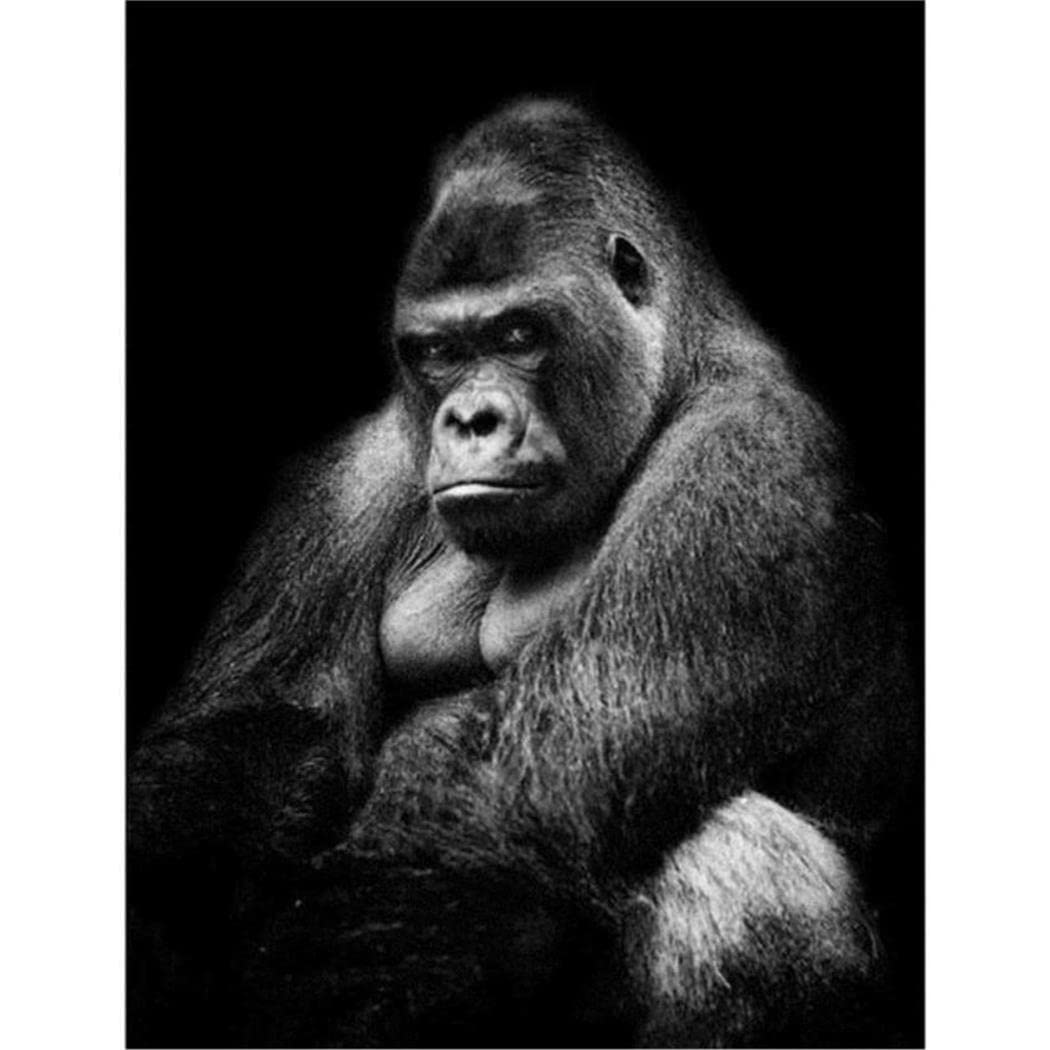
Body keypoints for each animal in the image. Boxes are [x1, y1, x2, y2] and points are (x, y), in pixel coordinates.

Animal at [128, 98, 916, 1048]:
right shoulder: (357, 471)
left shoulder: (750, 461)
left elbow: (515, 785)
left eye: (517, 334)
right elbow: (252, 743)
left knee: (736, 860)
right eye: (436, 352)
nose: (470, 419)